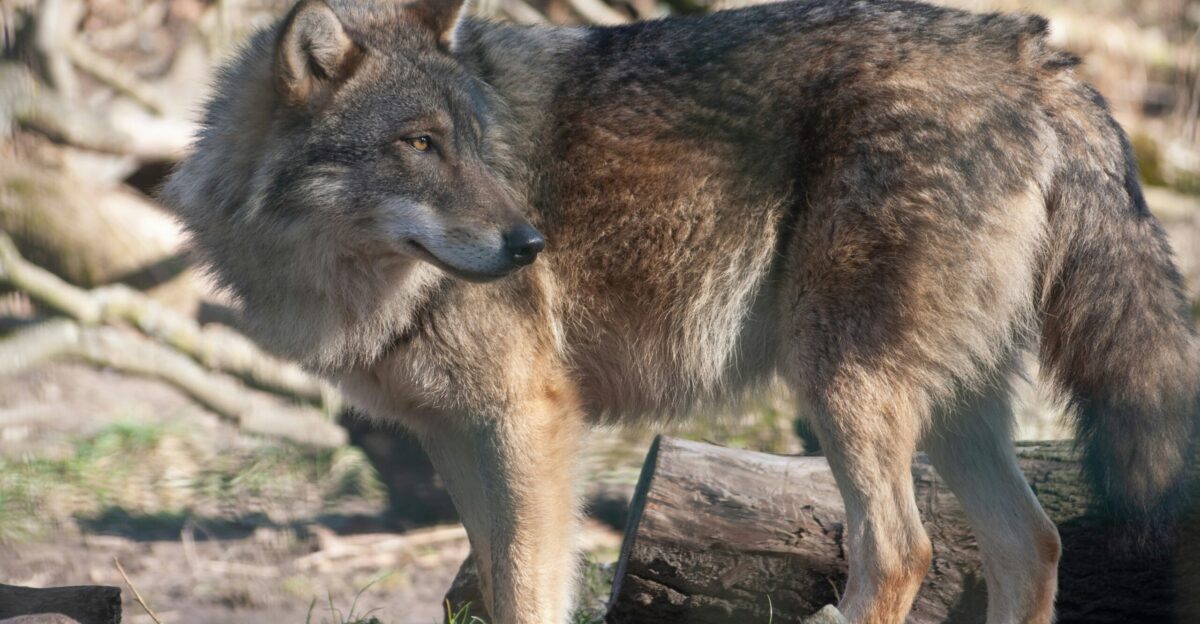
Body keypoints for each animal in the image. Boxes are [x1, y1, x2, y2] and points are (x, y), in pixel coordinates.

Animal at [162, 0, 1200, 621]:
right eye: (419, 144)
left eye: (474, 145)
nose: (530, 245)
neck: (353, 284)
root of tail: (1031, 51)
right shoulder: (454, 434)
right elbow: (498, 582)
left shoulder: (529, 421)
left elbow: (531, 589)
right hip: (946, 408)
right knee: (1033, 543)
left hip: (841, 387)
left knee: (903, 552)